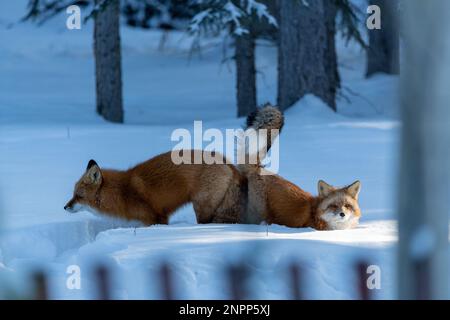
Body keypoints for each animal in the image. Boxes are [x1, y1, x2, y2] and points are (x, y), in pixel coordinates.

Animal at [65, 105, 362, 230]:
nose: (65, 207)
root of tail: (230, 164)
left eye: (78, 195)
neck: (122, 192)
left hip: (204, 207)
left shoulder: (154, 219)